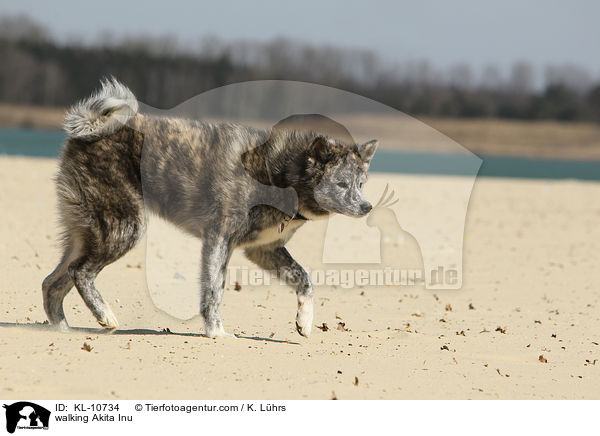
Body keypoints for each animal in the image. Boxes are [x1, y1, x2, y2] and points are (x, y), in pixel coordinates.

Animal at [42, 77, 378, 338]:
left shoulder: (263, 250)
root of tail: (91, 129)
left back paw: (61, 329)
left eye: (361, 184)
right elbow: (215, 291)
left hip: (88, 233)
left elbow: (306, 280)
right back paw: (104, 315)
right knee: (80, 272)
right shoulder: (219, 239)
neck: (278, 173)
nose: (367, 207)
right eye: (342, 184)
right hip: (125, 228)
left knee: (52, 282)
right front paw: (217, 332)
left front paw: (304, 322)